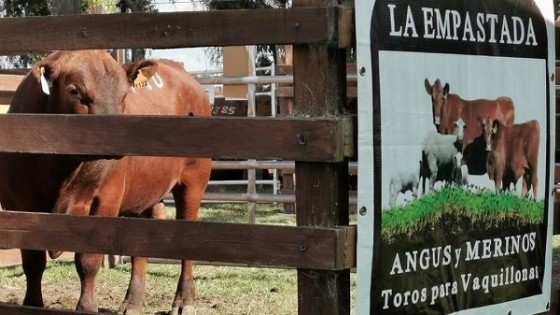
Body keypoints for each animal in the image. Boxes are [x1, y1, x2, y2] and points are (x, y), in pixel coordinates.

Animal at [0, 50, 212, 314]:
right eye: (74, 91)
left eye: (124, 95)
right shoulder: (20, 203)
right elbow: (33, 261)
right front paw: (32, 304)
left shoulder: (104, 201)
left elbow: (88, 260)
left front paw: (87, 307)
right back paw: (132, 303)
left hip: (194, 181)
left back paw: (184, 301)